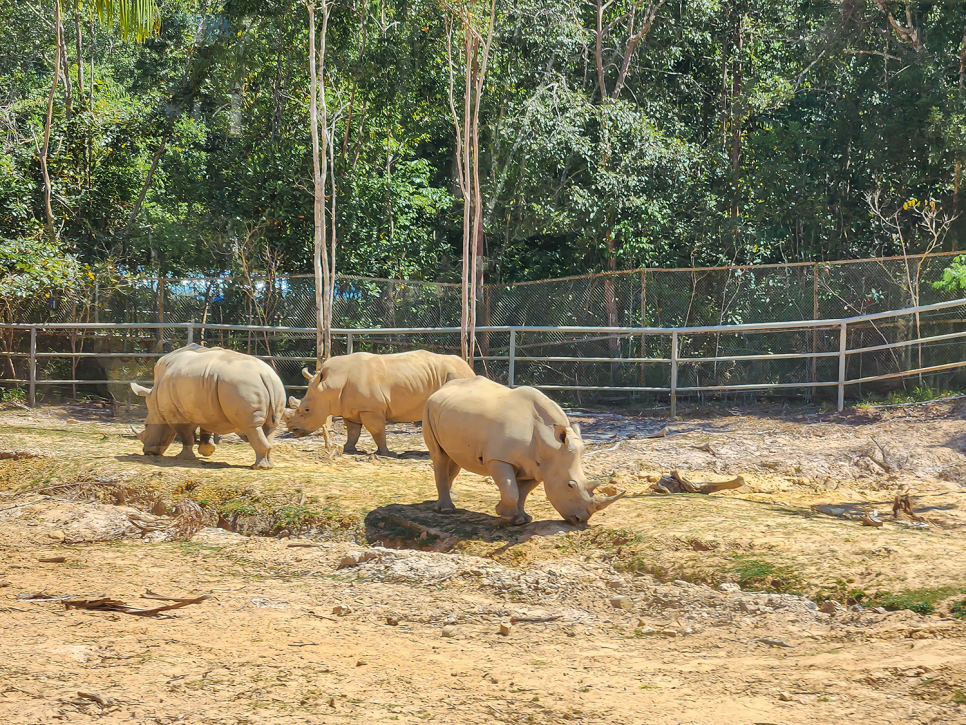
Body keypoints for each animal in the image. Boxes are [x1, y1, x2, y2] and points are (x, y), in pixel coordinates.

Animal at [130, 344, 286, 470]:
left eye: (146, 425)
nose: (147, 452)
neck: (155, 399)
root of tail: (264, 375)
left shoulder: (176, 415)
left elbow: (186, 436)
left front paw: (184, 457)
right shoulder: (206, 406)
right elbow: (206, 427)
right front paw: (207, 451)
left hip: (242, 386)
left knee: (252, 426)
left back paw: (259, 467)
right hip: (275, 385)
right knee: (270, 426)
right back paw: (268, 465)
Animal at [286, 350, 478, 456]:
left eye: (307, 409)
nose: (293, 430)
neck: (330, 385)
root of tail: (468, 367)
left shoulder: (371, 408)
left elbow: (377, 431)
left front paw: (386, 453)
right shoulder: (350, 408)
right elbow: (353, 431)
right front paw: (348, 449)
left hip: (455, 375)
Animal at [426, 376, 628, 524]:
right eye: (570, 485)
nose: (581, 519)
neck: (551, 445)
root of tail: (441, 388)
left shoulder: (539, 468)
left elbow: (522, 493)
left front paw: (521, 520)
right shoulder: (498, 458)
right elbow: (511, 490)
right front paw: (504, 514)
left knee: (454, 458)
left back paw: (451, 498)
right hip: (429, 407)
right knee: (439, 456)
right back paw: (446, 510)